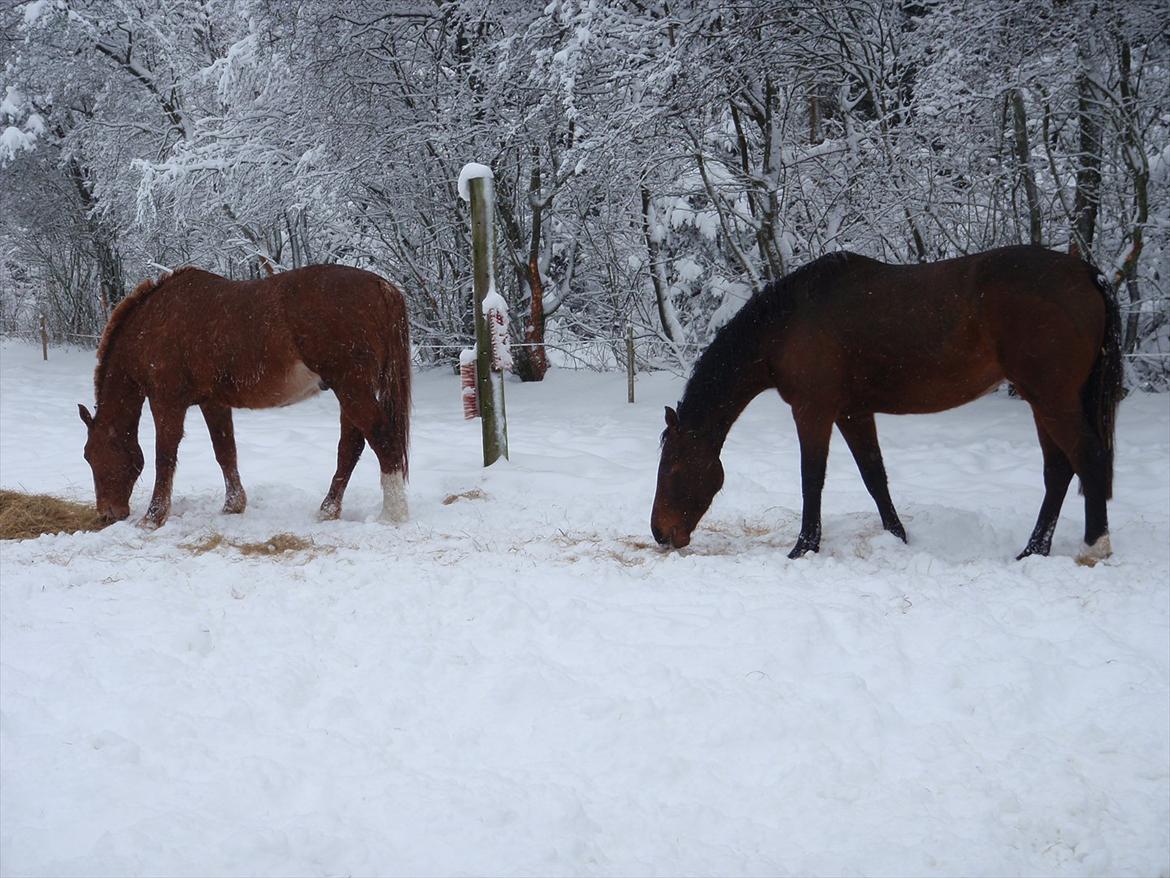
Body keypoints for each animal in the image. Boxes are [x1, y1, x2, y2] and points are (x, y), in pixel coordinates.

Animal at [78, 266, 411, 529]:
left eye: (90, 454)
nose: (108, 513)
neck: (153, 325)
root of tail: (380, 286)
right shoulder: (213, 403)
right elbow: (225, 451)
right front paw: (233, 505)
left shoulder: (167, 402)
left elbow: (165, 458)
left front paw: (153, 518)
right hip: (350, 392)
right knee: (350, 448)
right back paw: (328, 511)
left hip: (352, 389)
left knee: (383, 440)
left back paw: (392, 516)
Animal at [650, 248, 1123, 564]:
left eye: (673, 468)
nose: (660, 533)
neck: (788, 323)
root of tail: (1085, 271)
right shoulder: (853, 412)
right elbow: (874, 476)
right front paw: (898, 538)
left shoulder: (813, 411)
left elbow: (811, 479)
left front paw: (803, 548)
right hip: (1045, 401)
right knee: (1059, 471)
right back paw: (1033, 550)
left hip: (1051, 399)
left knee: (1087, 458)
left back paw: (1094, 547)